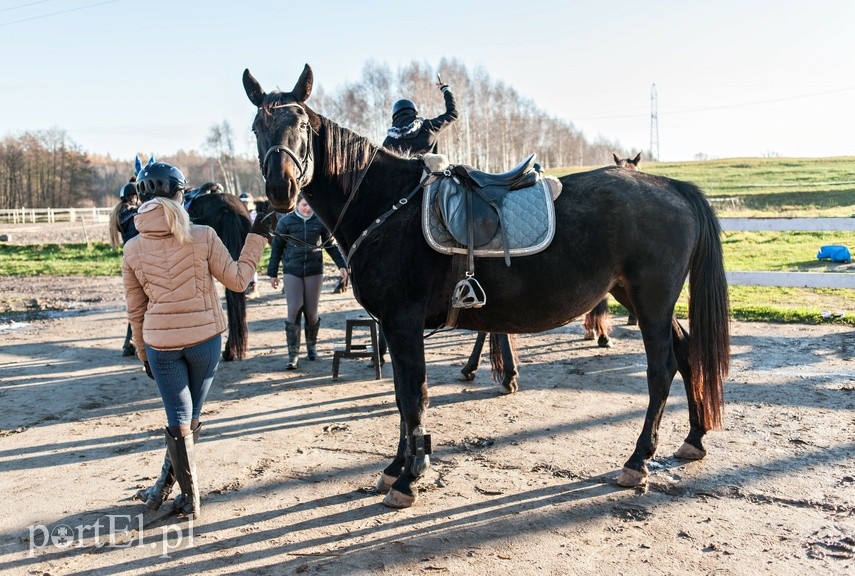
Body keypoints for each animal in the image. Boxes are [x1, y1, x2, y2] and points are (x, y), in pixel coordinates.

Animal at [244, 64, 732, 508]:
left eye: (300, 124)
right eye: (256, 127)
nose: (281, 189)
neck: (387, 205)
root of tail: (672, 186)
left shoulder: (403, 323)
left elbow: (414, 396)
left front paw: (409, 479)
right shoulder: (396, 327)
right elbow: (402, 396)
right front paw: (397, 468)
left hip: (651, 302)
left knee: (661, 370)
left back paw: (638, 459)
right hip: (636, 297)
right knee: (687, 353)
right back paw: (694, 438)